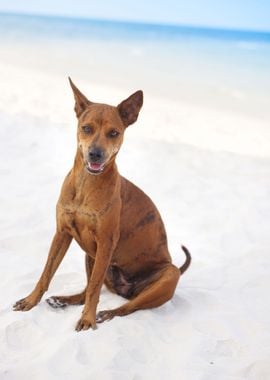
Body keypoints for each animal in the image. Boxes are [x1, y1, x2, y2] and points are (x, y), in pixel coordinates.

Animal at [13, 79, 191, 330]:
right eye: (86, 128)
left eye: (114, 133)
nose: (95, 154)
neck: (86, 184)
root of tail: (127, 288)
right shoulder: (62, 233)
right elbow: (46, 273)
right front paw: (30, 301)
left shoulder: (106, 242)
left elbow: (95, 289)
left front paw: (88, 319)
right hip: (91, 255)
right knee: (85, 291)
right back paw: (63, 300)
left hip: (167, 274)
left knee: (126, 307)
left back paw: (103, 313)